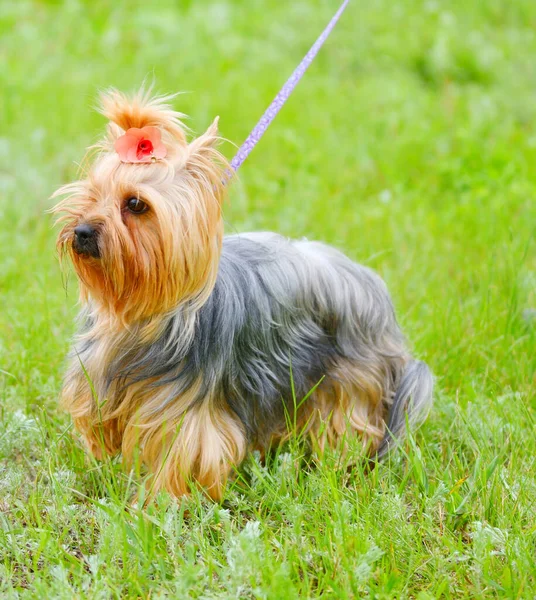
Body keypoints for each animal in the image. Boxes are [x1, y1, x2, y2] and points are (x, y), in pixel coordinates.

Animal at [53, 88, 432, 502]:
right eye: (91, 194)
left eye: (136, 204)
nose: (82, 232)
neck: (141, 312)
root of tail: (369, 283)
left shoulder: (187, 412)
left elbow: (183, 452)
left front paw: (159, 504)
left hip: (349, 379)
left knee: (346, 426)